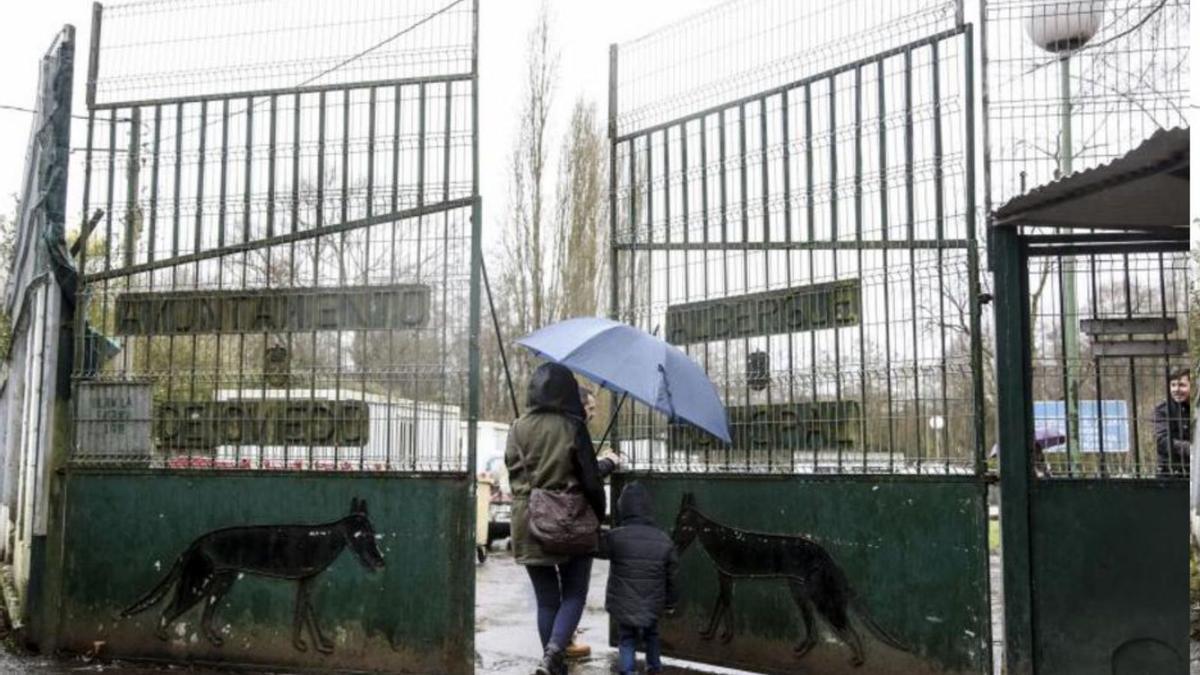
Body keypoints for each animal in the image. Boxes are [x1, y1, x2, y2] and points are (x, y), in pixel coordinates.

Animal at [121, 497, 384, 648]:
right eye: (361, 535)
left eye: (372, 533)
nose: (380, 562)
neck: (329, 538)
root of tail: (192, 545)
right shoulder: (305, 582)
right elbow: (302, 616)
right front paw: (301, 645)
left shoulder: (306, 583)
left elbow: (308, 616)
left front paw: (318, 643)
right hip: (196, 586)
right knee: (167, 612)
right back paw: (162, 637)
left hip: (220, 586)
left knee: (205, 619)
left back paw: (214, 640)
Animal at [672, 492, 902, 662]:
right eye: (676, 524)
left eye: (683, 526)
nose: (673, 542)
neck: (713, 535)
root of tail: (829, 557)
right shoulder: (725, 578)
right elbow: (719, 608)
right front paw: (710, 634)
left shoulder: (726, 577)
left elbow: (725, 609)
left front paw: (725, 637)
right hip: (801, 594)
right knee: (815, 633)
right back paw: (801, 651)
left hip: (822, 600)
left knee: (849, 631)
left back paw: (858, 660)